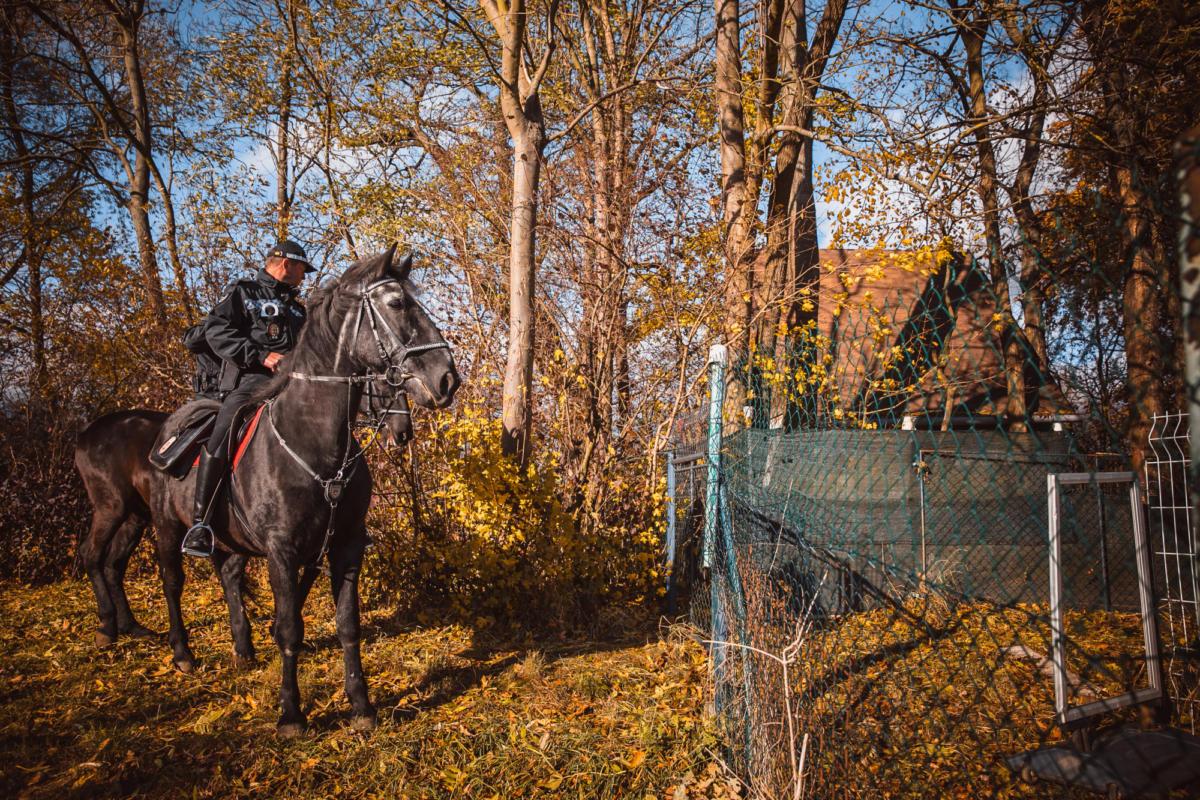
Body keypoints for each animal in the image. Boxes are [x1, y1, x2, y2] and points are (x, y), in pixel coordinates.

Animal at [75, 248, 458, 734]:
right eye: (396, 304)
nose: (447, 379)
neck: (314, 442)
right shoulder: (281, 549)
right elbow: (290, 627)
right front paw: (291, 713)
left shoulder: (345, 545)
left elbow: (346, 624)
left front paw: (361, 706)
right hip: (154, 521)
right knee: (163, 578)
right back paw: (173, 648)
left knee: (221, 575)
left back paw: (239, 648)